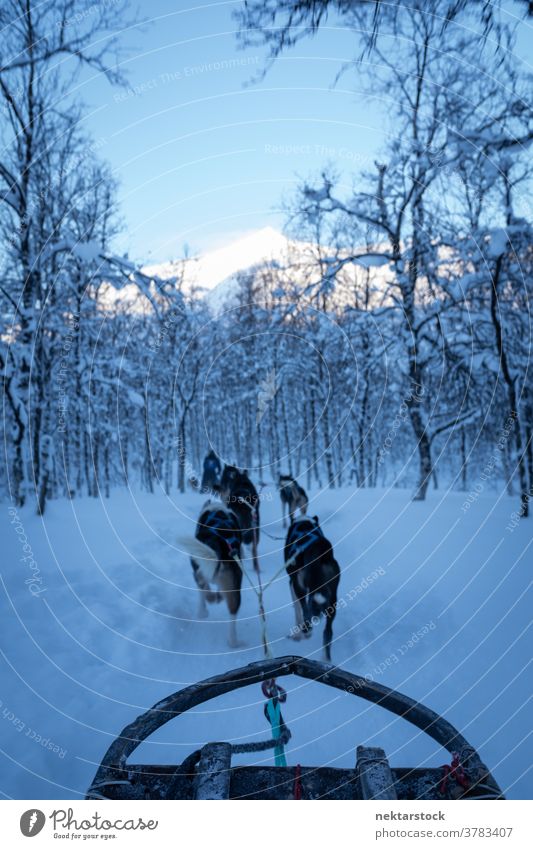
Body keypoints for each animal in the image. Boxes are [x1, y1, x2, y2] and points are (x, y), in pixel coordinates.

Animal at [181, 500, 243, 644]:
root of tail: (219, 542)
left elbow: (201, 593)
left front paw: (203, 609)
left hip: (199, 570)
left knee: (203, 587)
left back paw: (205, 607)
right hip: (234, 583)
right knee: (233, 609)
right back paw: (233, 641)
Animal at [284, 512, 338, 660]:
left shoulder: (293, 584)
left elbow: (297, 610)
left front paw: (297, 635)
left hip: (301, 587)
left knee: (305, 609)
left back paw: (306, 631)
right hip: (333, 598)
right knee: (328, 632)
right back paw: (326, 660)